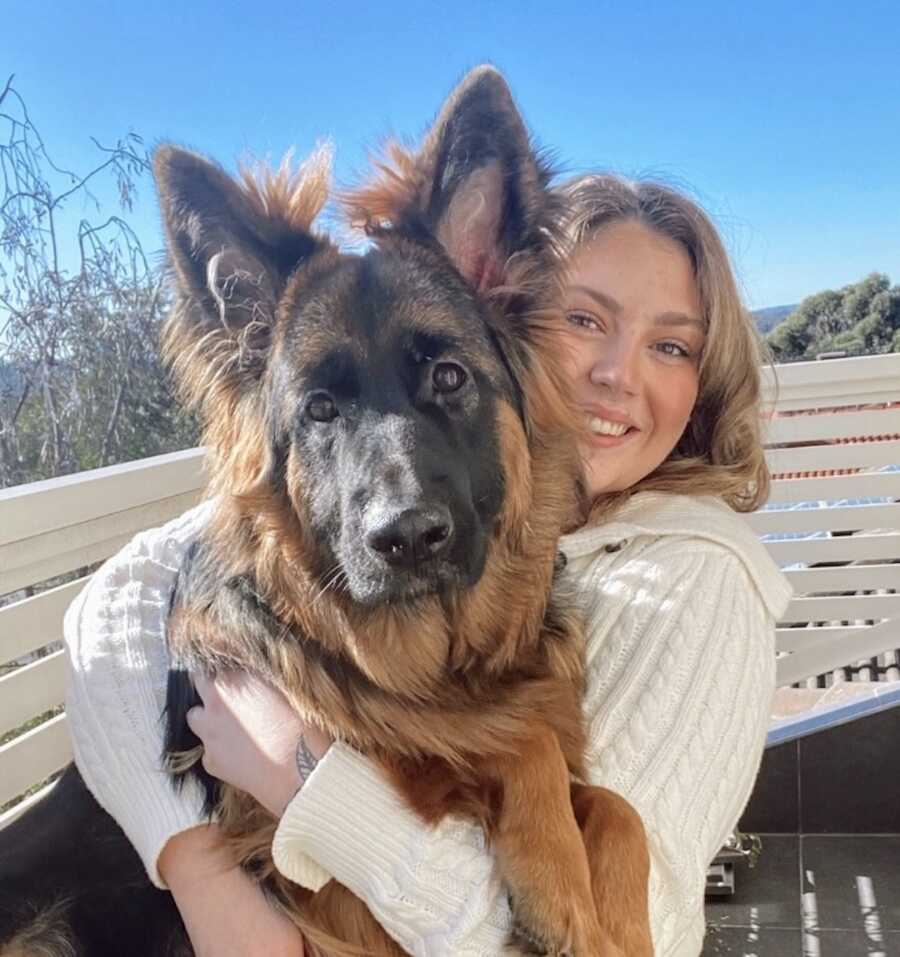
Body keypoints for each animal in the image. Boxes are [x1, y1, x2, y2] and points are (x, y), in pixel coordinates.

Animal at [0, 69, 652, 956]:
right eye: (318, 408)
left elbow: (617, 808)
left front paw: (615, 913)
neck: (438, 664)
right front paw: (560, 885)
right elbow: (507, 741)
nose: (406, 537)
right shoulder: (342, 883)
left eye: (449, 376)